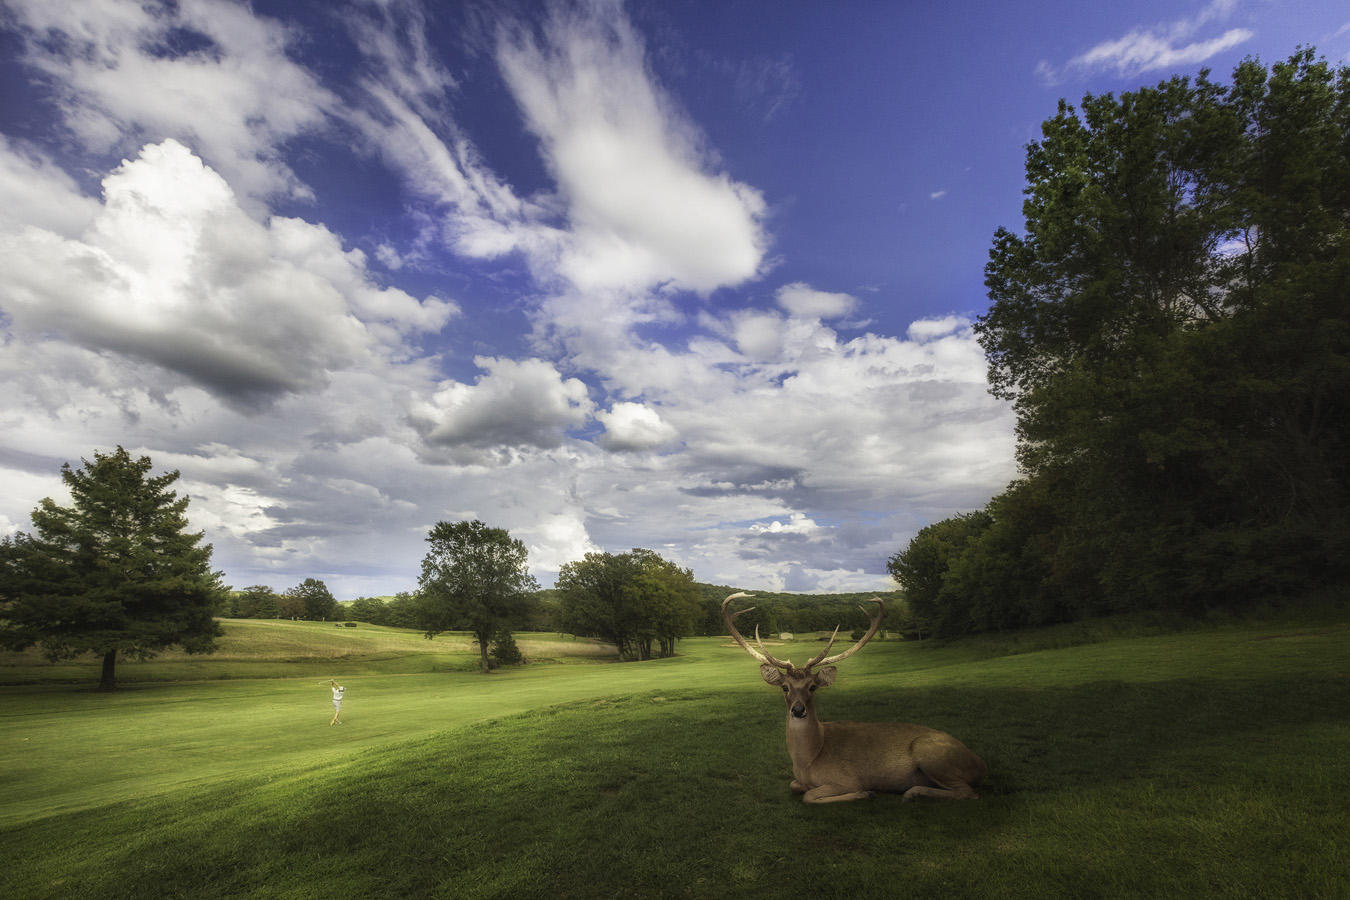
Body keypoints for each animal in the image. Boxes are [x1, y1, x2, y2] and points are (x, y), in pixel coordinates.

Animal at [723, 593, 988, 804]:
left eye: (812, 687)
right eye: (785, 687)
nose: (798, 710)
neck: (808, 760)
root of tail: (979, 763)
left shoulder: (846, 778)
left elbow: (810, 795)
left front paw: (865, 793)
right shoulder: (798, 779)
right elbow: (794, 786)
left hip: (930, 754)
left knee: (969, 792)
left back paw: (911, 792)